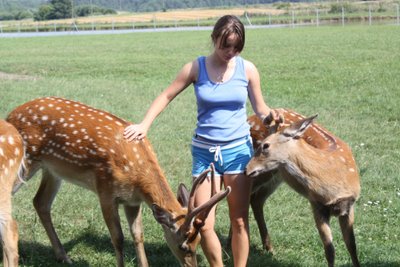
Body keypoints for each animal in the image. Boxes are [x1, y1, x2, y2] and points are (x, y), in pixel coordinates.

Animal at [6, 97, 230, 267]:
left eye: (199, 241)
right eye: (183, 246)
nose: (191, 265)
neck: (137, 179)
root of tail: (10, 115)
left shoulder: (133, 201)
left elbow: (138, 236)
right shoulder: (105, 191)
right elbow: (118, 238)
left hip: (53, 170)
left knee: (40, 202)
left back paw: (64, 256)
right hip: (26, 163)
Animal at [245, 110, 360, 266]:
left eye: (265, 146)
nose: (247, 169)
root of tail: (248, 118)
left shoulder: (349, 205)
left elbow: (352, 245)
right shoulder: (316, 205)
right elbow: (330, 250)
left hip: (275, 176)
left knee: (256, 200)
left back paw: (269, 248)